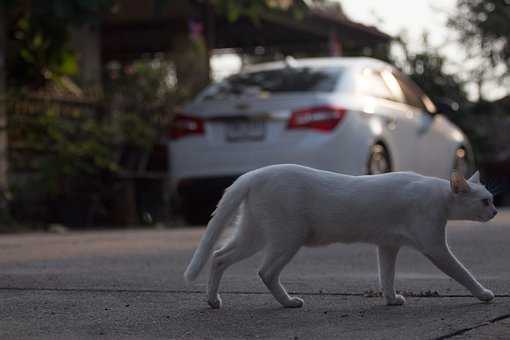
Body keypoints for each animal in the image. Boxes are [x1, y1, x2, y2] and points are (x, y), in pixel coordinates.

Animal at [184, 164, 498, 308]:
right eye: (485, 201)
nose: (495, 211)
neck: (438, 196)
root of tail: (253, 174)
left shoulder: (388, 246)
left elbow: (387, 276)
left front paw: (391, 299)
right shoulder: (435, 247)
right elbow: (463, 272)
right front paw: (483, 294)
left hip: (254, 234)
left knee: (218, 256)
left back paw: (213, 301)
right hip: (287, 238)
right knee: (265, 271)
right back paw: (289, 302)